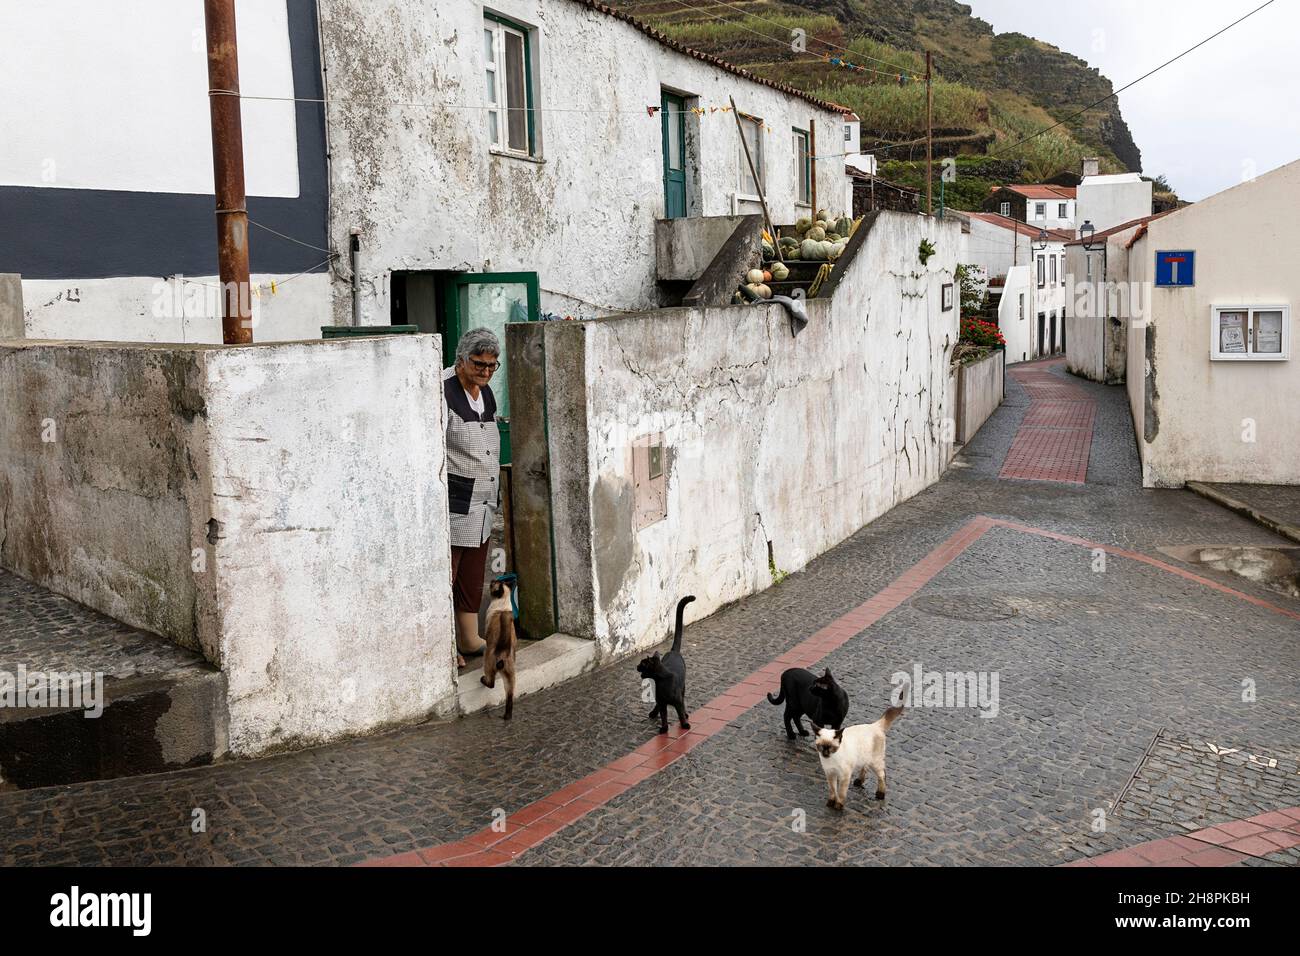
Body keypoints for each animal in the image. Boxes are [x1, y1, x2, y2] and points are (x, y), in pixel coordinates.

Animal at [634, 595, 696, 738]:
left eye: (642, 664)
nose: (636, 666)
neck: (662, 681)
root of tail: (673, 651)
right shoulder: (662, 702)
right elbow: (663, 716)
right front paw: (664, 728)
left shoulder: (677, 700)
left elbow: (680, 712)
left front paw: (684, 724)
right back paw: (653, 713)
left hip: (683, 688)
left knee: (683, 702)